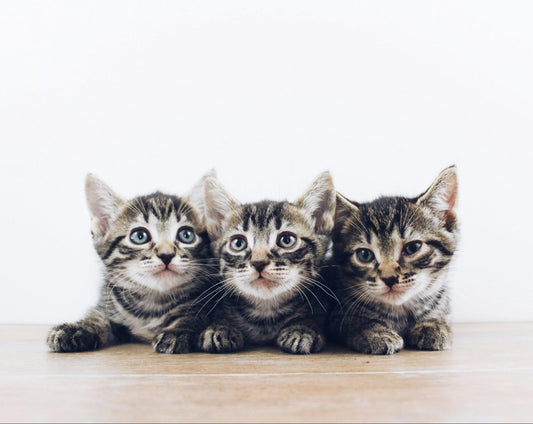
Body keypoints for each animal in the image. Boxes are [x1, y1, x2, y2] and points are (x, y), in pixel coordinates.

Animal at [46, 172, 214, 354]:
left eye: (186, 235)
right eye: (140, 236)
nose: (166, 254)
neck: (151, 305)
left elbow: (192, 315)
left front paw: (176, 330)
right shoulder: (108, 302)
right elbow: (97, 316)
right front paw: (77, 328)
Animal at [195, 172, 336, 354]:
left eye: (286, 240)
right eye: (238, 243)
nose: (259, 262)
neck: (265, 314)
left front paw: (303, 329)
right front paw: (220, 327)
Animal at [328, 166, 458, 354]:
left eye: (413, 247)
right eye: (364, 254)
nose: (389, 278)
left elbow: (439, 313)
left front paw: (433, 325)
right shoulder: (335, 314)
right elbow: (354, 321)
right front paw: (374, 332)